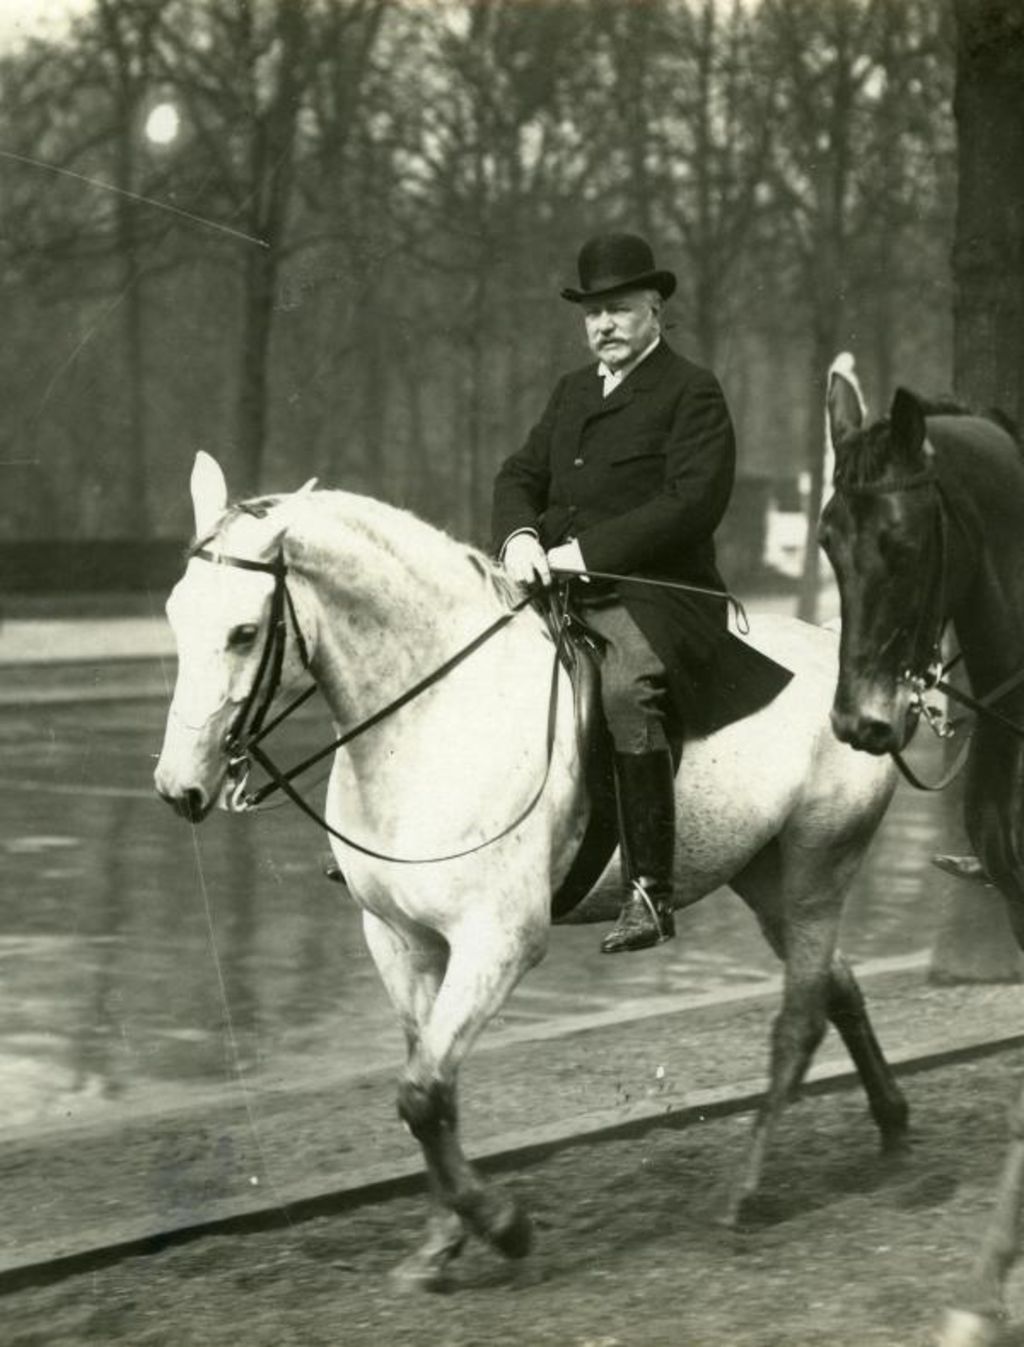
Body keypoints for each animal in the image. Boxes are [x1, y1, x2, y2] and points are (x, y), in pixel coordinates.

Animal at [154, 457, 905, 1287]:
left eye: (244, 631)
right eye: (174, 615)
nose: (179, 787)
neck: (432, 718)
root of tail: (836, 651)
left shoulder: (498, 940)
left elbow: (421, 1095)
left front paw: (502, 1226)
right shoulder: (401, 942)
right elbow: (432, 1090)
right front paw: (440, 1243)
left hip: (815, 870)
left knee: (800, 1019)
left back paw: (742, 1191)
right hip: (766, 878)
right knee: (838, 986)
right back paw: (893, 1128)